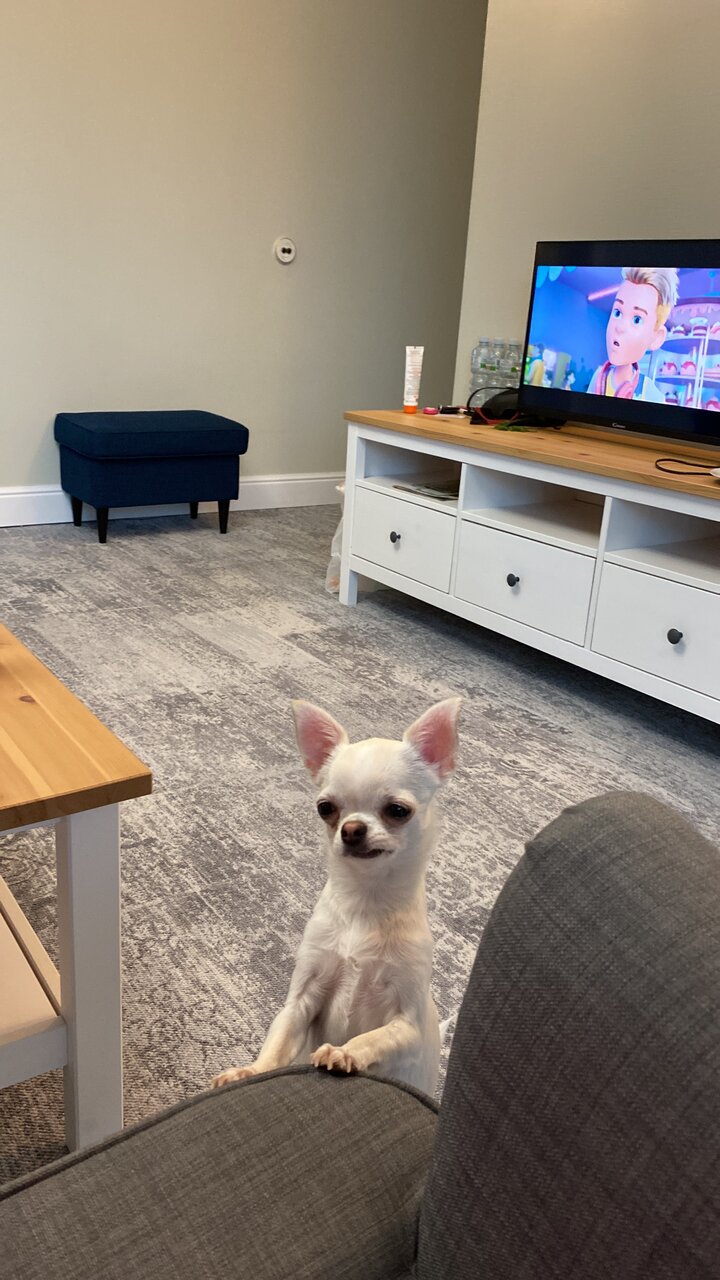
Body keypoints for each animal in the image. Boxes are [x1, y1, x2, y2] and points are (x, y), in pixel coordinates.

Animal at [210, 696, 460, 1095]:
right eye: (325, 808)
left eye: (398, 810)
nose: (352, 828)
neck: (365, 899)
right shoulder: (300, 1001)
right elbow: (277, 1044)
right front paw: (251, 1071)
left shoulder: (407, 1024)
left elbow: (374, 1038)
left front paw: (345, 1052)